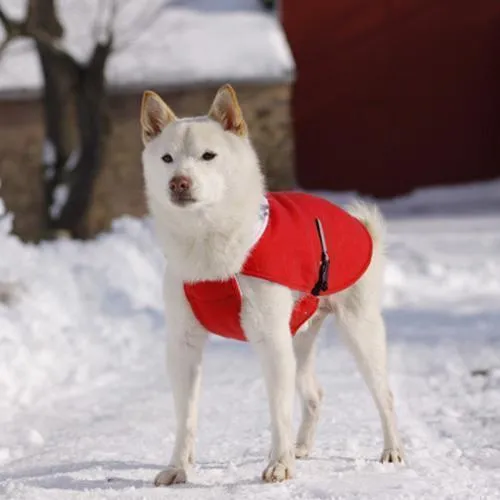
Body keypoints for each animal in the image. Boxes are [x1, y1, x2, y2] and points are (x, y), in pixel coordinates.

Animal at [139, 83, 404, 484]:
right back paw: (302, 447)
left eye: (208, 156)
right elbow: (185, 416)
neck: (209, 248)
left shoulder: (270, 338)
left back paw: (391, 450)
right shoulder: (183, 344)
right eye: (167, 158)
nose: (178, 182)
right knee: (315, 394)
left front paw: (279, 464)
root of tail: (358, 223)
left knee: (384, 395)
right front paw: (178, 467)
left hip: (358, 331)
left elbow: (278, 410)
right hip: (299, 339)